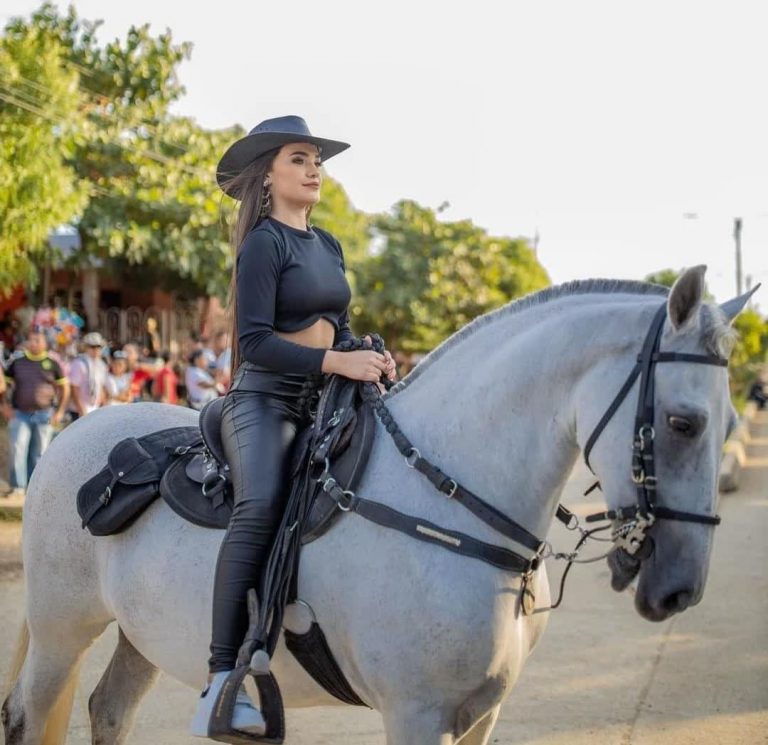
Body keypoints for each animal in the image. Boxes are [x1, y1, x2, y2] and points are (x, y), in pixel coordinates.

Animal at [2, 266, 753, 745]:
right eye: (683, 422)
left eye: (730, 422)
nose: (680, 589)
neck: (446, 502)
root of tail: (75, 433)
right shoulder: (418, 714)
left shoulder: (482, 714)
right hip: (61, 631)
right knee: (30, 716)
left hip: (138, 634)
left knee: (108, 711)